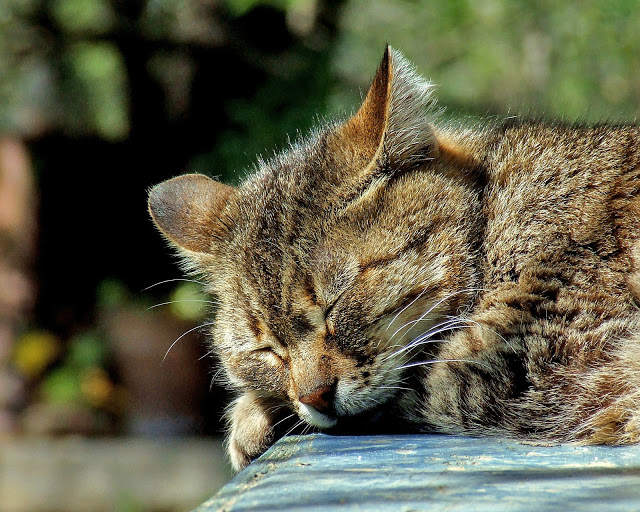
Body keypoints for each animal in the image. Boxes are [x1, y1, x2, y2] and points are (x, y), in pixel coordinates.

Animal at [148, 46, 640, 470]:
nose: (315, 397)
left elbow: (411, 386)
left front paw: (250, 414)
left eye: (335, 304)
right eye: (267, 349)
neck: (495, 216)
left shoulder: (539, 360)